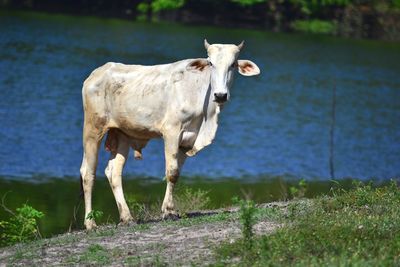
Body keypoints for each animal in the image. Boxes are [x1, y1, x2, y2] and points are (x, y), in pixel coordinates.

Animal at [79, 39, 260, 230]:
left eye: (233, 64)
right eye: (211, 63)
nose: (220, 95)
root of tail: (97, 73)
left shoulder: (188, 140)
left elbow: (177, 172)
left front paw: (169, 209)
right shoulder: (172, 131)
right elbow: (172, 171)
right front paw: (168, 212)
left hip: (121, 133)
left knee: (114, 171)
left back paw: (127, 217)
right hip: (93, 129)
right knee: (88, 172)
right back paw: (90, 223)